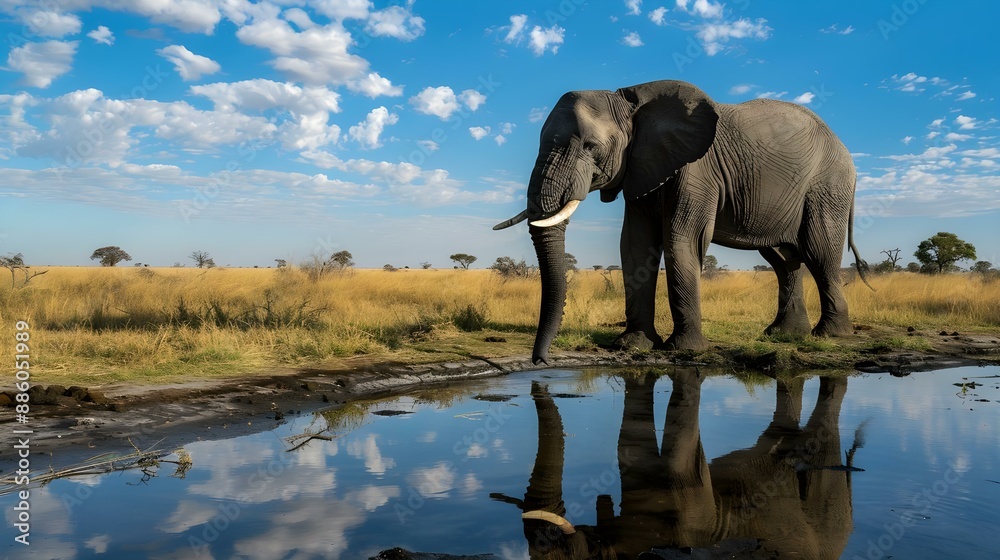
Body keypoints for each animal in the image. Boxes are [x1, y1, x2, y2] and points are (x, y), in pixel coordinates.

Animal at [494, 80, 870, 365]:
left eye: (590, 146)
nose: (541, 362)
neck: (630, 102)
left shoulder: (697, 170)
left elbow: (681, 240)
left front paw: (684, 349)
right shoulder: (641, 167)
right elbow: (633, 245)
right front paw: (631, 345)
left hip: (828, 185)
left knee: (819, 252)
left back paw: (829, 335)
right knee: (783, 258)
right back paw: (784, 335)